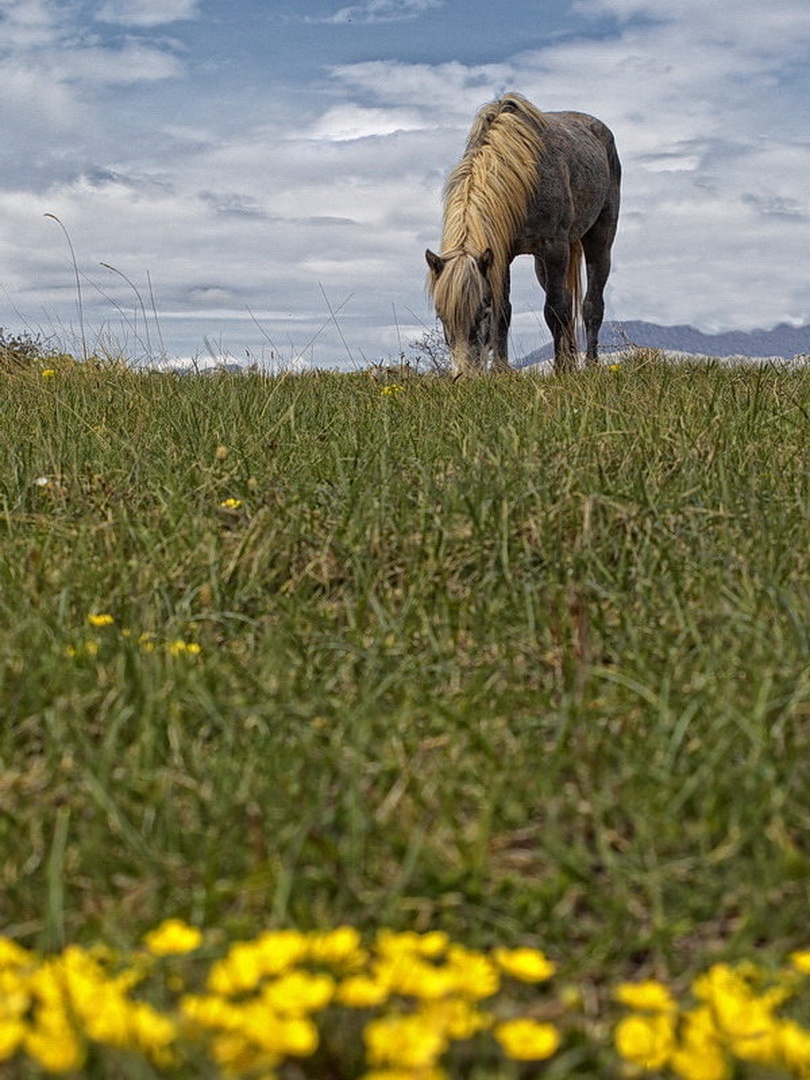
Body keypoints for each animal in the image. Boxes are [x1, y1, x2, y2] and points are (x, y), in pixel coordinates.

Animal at [426, 93, 621, 374]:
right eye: (441, 315)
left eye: (482, 311)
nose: (464, 375)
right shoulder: (500, 255)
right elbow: (505, 311)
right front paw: (500, 369)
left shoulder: (554, 248)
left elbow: (555, 309)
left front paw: (559, 368)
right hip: (542, 265)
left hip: (599, 240)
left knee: (591, 304)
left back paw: (590, 364)